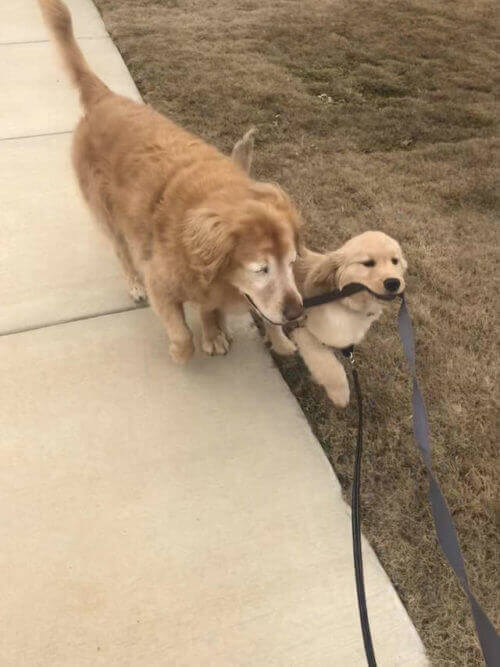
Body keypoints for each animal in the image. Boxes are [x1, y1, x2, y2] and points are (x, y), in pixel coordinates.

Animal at [39, 1, 302, 366]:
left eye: (292, 262)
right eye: (260, 269)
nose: (296, 314)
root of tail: (105, 98)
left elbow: (209, 309)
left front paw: (218, 332)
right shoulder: (161, 281)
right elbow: (182, 331)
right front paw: (185, 348)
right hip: (108, 216)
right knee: (121, 251)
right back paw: (133, 284)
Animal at [232, 131, 408, 408]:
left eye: (395, 261)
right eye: (367, 263)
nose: (393, 282)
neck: (342, 300)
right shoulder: (305, 333)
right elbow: (331, 368)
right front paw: (340, 394)